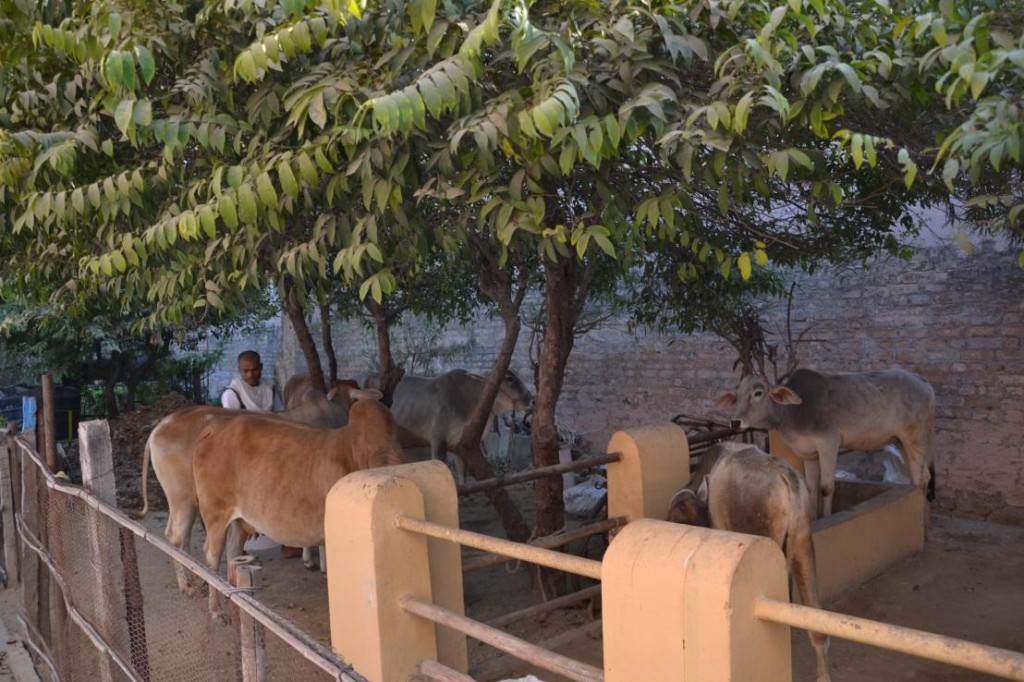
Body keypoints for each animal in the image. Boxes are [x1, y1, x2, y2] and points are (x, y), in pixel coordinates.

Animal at [192, 391, 403, 618]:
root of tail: (215, 425)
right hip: (215, 514)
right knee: (212, 556)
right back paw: (216, 610)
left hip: (241, 519)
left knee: (233, 552)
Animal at [716, 366, 933, 516]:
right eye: (737, 396)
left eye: (758, 393)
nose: (735, 422)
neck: (795, 410)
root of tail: (923, 382)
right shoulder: (809, 453)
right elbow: (812, 488)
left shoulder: (829, 444)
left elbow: (826, 487)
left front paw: (826, 517)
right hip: (900, 441)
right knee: (925, 476)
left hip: (916, 437)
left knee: (919, 479)